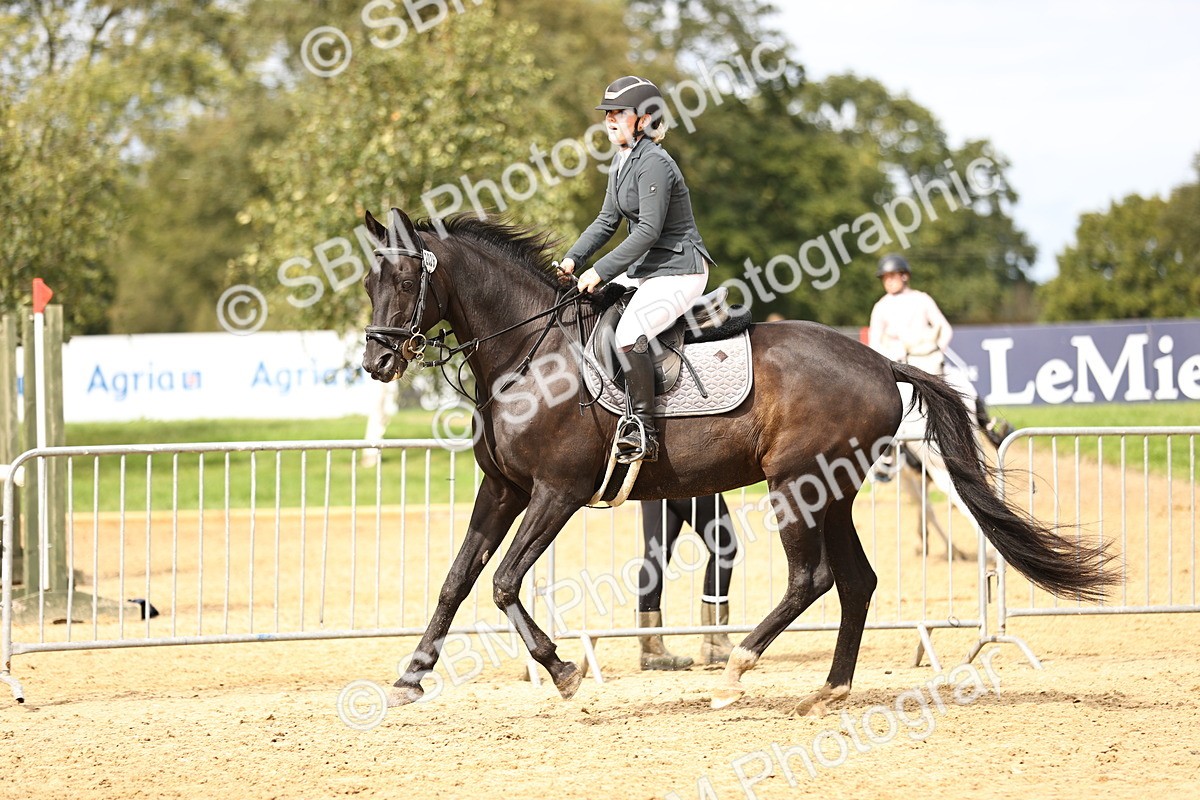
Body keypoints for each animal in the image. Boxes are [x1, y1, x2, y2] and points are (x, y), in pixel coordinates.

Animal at [359, 208, 1111, 715]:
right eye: (369, 279)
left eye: (406, 276)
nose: (375, 361)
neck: (529, 354)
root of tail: (878, 360)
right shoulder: (504, 489)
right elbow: (456, 581)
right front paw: (409, 678)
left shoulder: (557, 492)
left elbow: (504, 582)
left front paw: (563, 670)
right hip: (830, 491)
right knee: (857, 581)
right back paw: (828, 690)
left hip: (794, 486)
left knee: (811, 579)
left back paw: (736, 670)